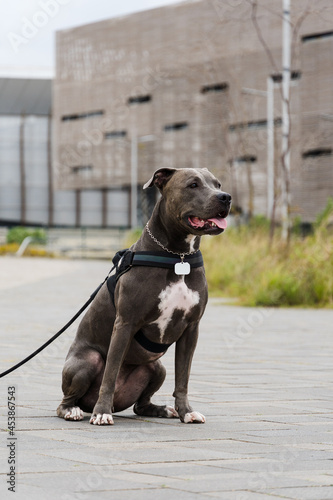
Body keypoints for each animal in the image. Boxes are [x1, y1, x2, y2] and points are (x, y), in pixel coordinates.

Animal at [56, 168, 231, 426]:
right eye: (193, 185)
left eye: (217, 184)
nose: (225, 197)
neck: (177, 256)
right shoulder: (125, 324)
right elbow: (110, 374)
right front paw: (101, 413)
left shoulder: (191, 328)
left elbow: (183, 378)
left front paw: (186, 411)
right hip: (86, 361)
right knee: (67, 399)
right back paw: (75, 410)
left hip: (156, 367)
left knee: (141, 404)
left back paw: (161, 409)